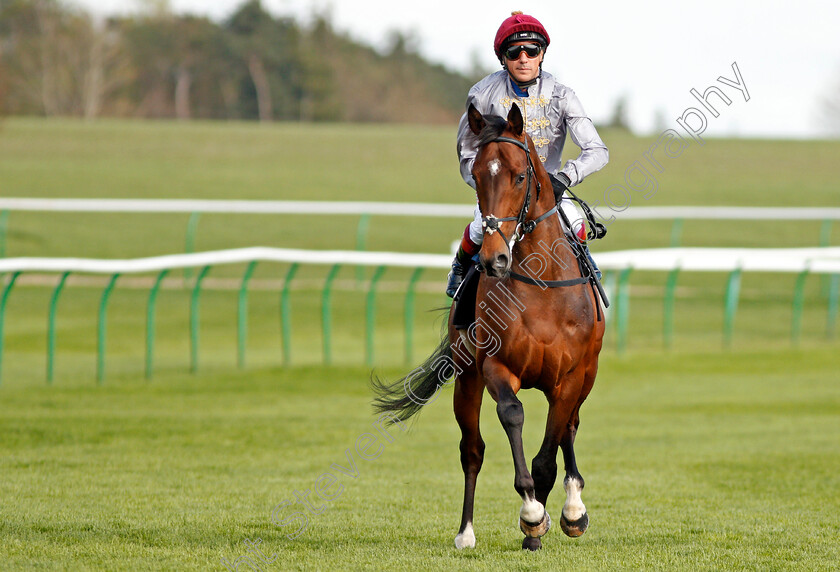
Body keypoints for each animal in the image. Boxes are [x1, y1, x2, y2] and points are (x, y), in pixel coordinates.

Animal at [374, 101, 604, 548]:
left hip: (586, 376)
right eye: (478, 174)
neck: (542, 284)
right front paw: (531, 514)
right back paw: (466, 533)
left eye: (520, 175)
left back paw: (573, 510)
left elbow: (550, 452)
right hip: (466, 379)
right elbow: (512, 415)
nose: (493, 259)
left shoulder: (570, 376)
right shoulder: (496, 367)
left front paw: (547, 518)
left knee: (570, 427)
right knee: (472, 449)